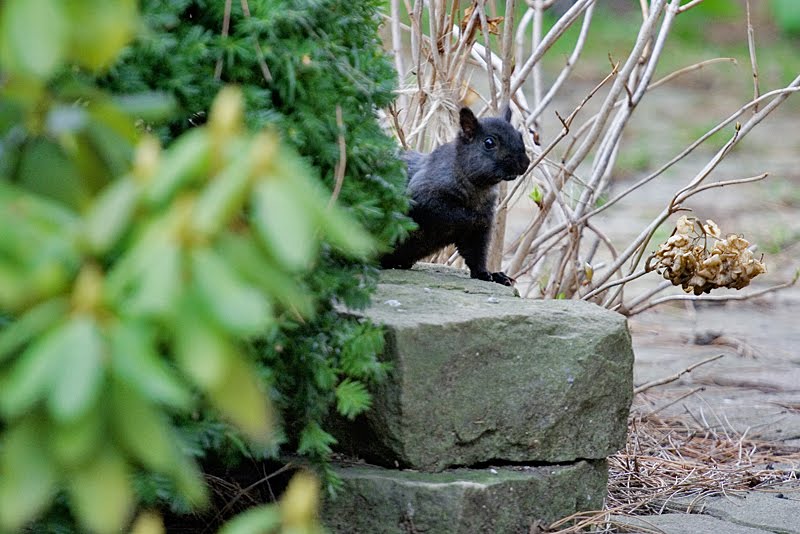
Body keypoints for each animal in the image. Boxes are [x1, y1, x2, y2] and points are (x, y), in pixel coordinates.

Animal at [380, 106, 530, 286]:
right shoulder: (424, 196)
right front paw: (474, 216)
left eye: (520, 135)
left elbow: (476, 255)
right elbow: (453, 213)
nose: (525, 163)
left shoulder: (477, 235)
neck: (479, 188)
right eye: (489, 143)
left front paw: (489, 274)